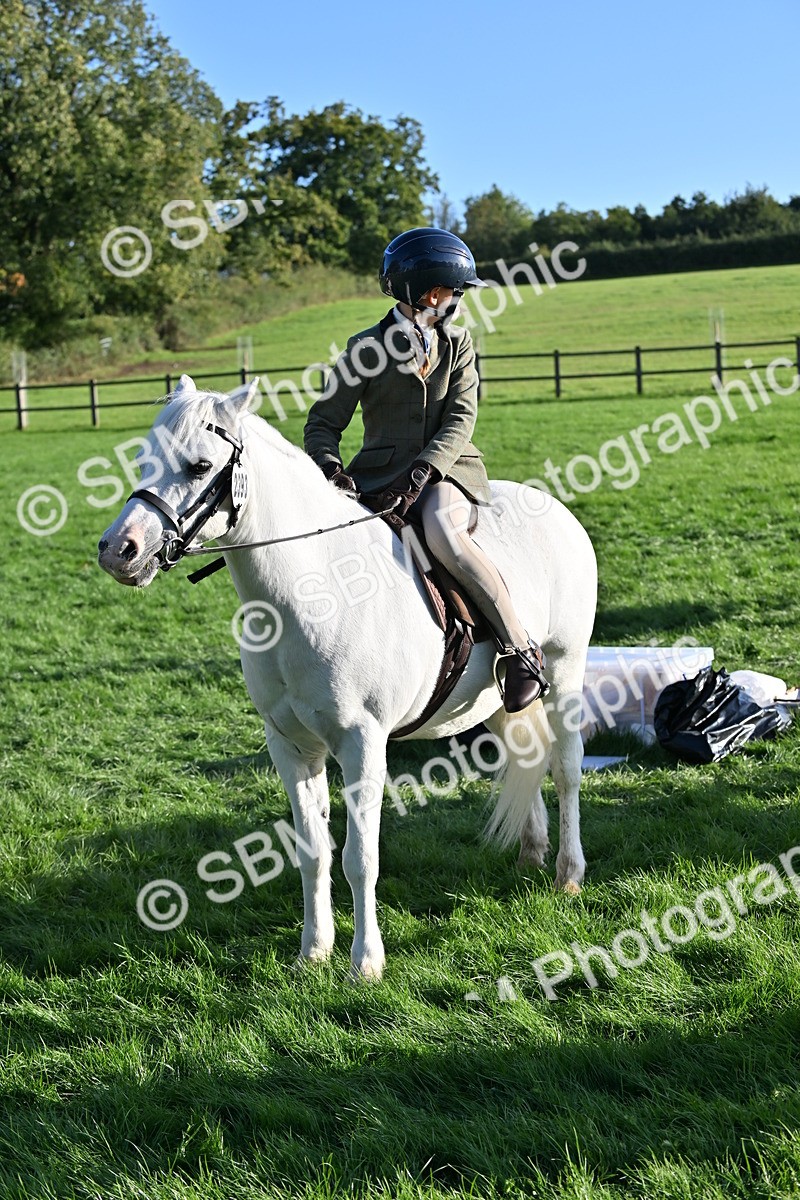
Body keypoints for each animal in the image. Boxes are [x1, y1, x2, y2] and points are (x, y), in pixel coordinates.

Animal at [97, 375, 597, 979]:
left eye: (199, 466)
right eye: (144, 460)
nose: (118, 550)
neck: (311, 589)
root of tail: (556, 509)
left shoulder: (362, 744)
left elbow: (361, 857)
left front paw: (365, 961)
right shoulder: (290, 746)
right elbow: (312, 850)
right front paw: (313, 951)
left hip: (566, 669)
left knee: (566, 767)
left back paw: (569, 872)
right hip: (499, 702)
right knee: (527, 758)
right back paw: (531, 853)